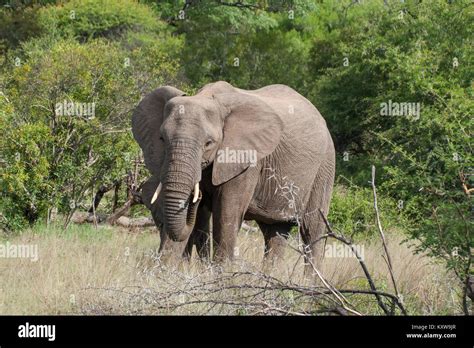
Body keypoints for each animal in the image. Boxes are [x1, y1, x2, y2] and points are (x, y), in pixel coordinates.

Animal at [131, 81, 336, 266]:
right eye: (161, 139)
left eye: (209, 143)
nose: (197, 199)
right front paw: (167, 272)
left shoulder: (247, 159)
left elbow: (226, 214)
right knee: (275, 232)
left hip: (325, 165)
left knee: (312, 230)